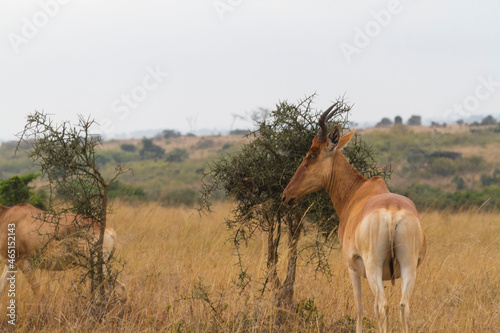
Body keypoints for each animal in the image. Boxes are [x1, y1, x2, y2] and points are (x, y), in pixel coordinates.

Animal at [282, 102, 426, 330]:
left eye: (312, 154)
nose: (286, 195)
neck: (358, 191)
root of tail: (393, 213)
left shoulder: (352, 267)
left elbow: (359, 308)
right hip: (408, 264)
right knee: (403, 306)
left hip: (373, 265)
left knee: (383, 306)